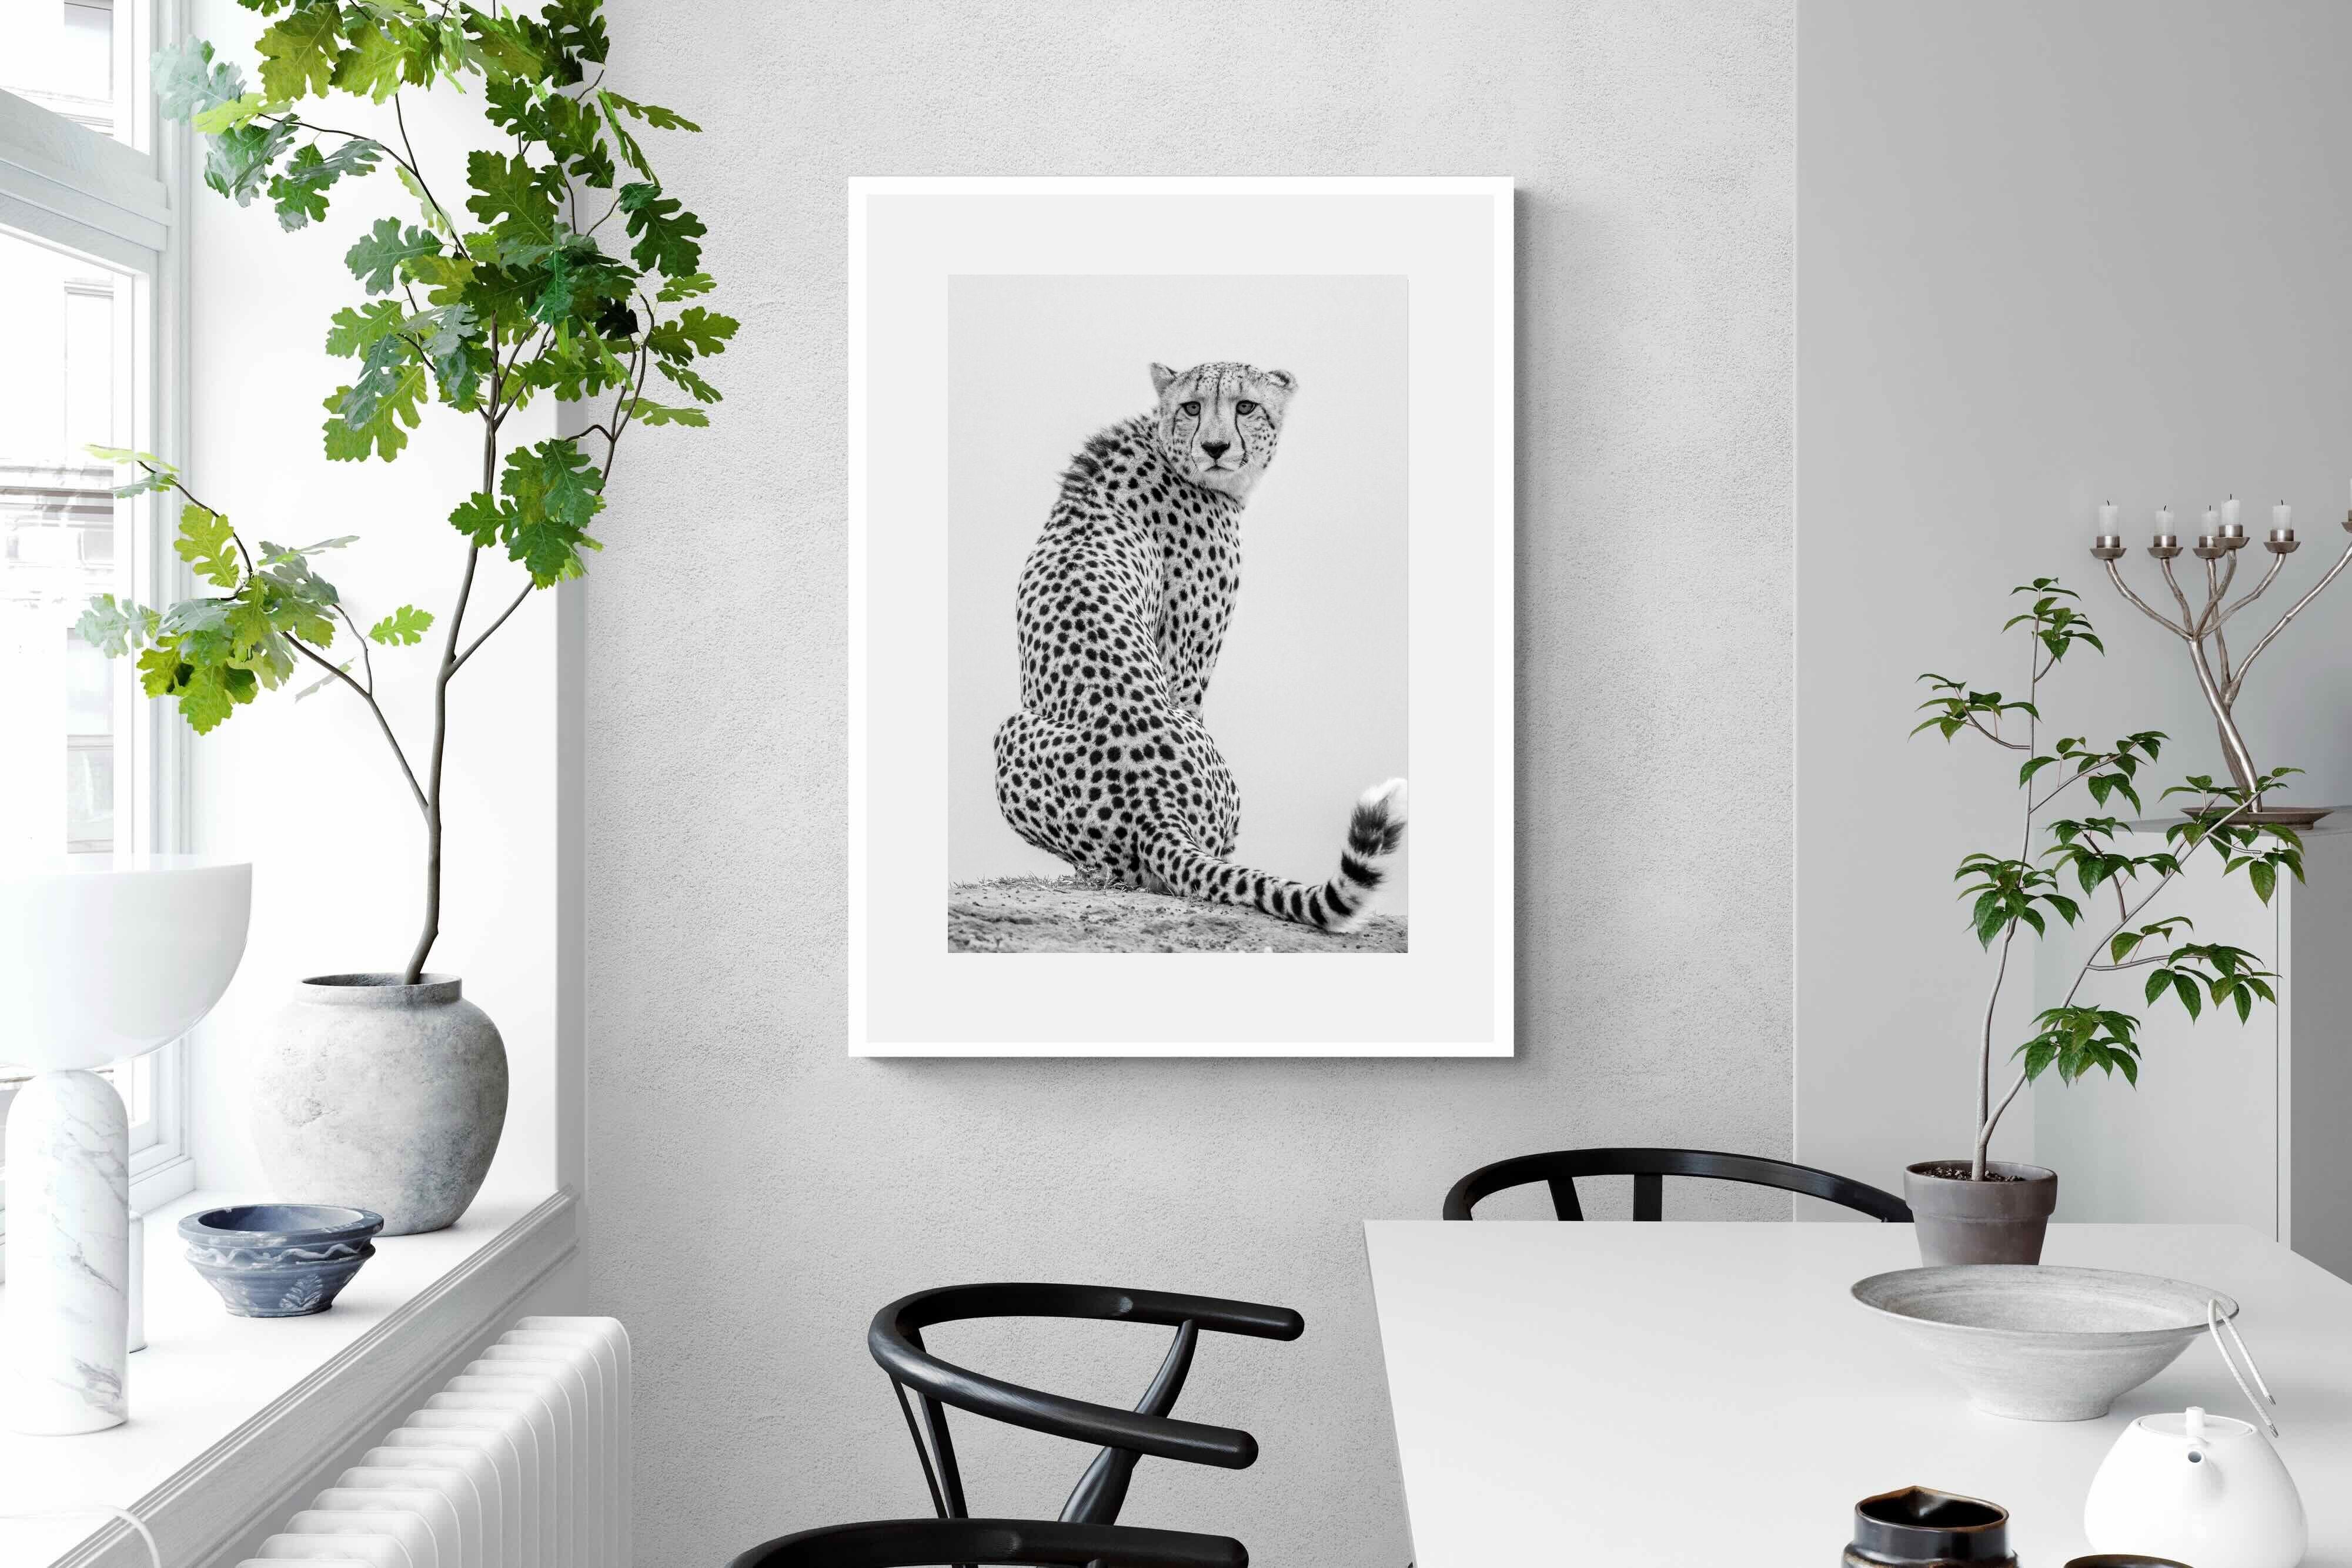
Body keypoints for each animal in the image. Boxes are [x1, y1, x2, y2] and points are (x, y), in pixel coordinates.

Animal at [989, 359, 1407, 933]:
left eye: (1245, 405)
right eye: (1193, 406)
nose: (1214, 446)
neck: (1165, 446)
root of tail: (1155, 806)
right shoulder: (1187, 664)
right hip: (1016, 732)